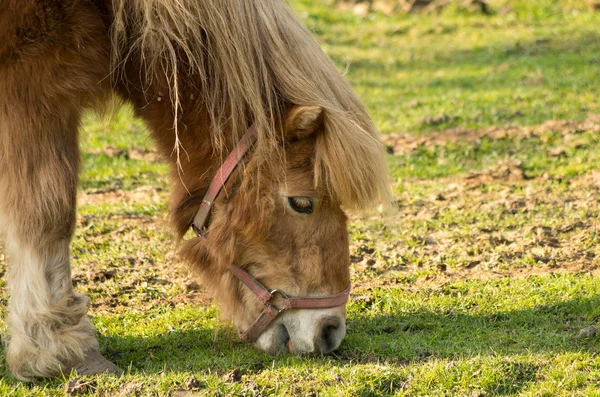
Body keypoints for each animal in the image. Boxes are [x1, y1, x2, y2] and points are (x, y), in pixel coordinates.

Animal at [0, 0, 390, 378]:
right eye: (302, 202)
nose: (331, 331)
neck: (115, 11)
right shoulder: (36, 85)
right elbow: (48, 214)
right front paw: (58, 348)